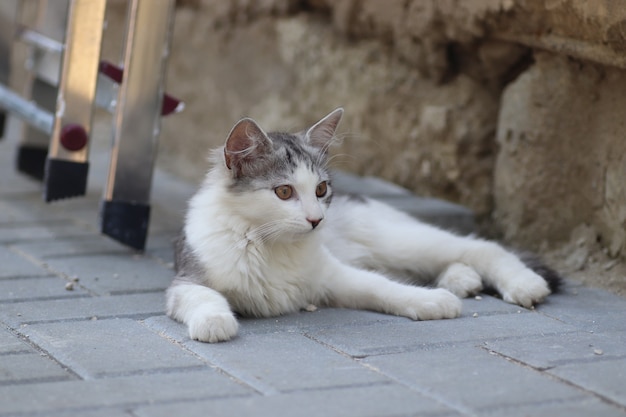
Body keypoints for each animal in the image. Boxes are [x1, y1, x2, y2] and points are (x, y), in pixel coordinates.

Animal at [163, 107, 560, 342]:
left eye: (321, 189)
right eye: (284, 191)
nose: (316, 220)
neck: (270, 246)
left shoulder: (333, 275)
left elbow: (383, 289)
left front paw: (429, 301)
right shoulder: (186, 281)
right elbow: (204, 297)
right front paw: (215, 321)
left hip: (399, 240)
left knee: (480, 246)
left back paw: (524, 284)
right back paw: (462, 280)